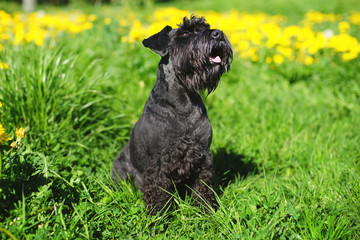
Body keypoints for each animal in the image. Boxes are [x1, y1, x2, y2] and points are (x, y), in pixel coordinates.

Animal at [111, 16, 232, 216]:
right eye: (186, 33)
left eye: (204, 27)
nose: (218, 33)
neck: (183, 103)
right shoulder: (158, 162)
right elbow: (157, 189)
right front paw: (159, 216)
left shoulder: (203, 156)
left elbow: (203, 187)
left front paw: (206, 210)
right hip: (120, 168)